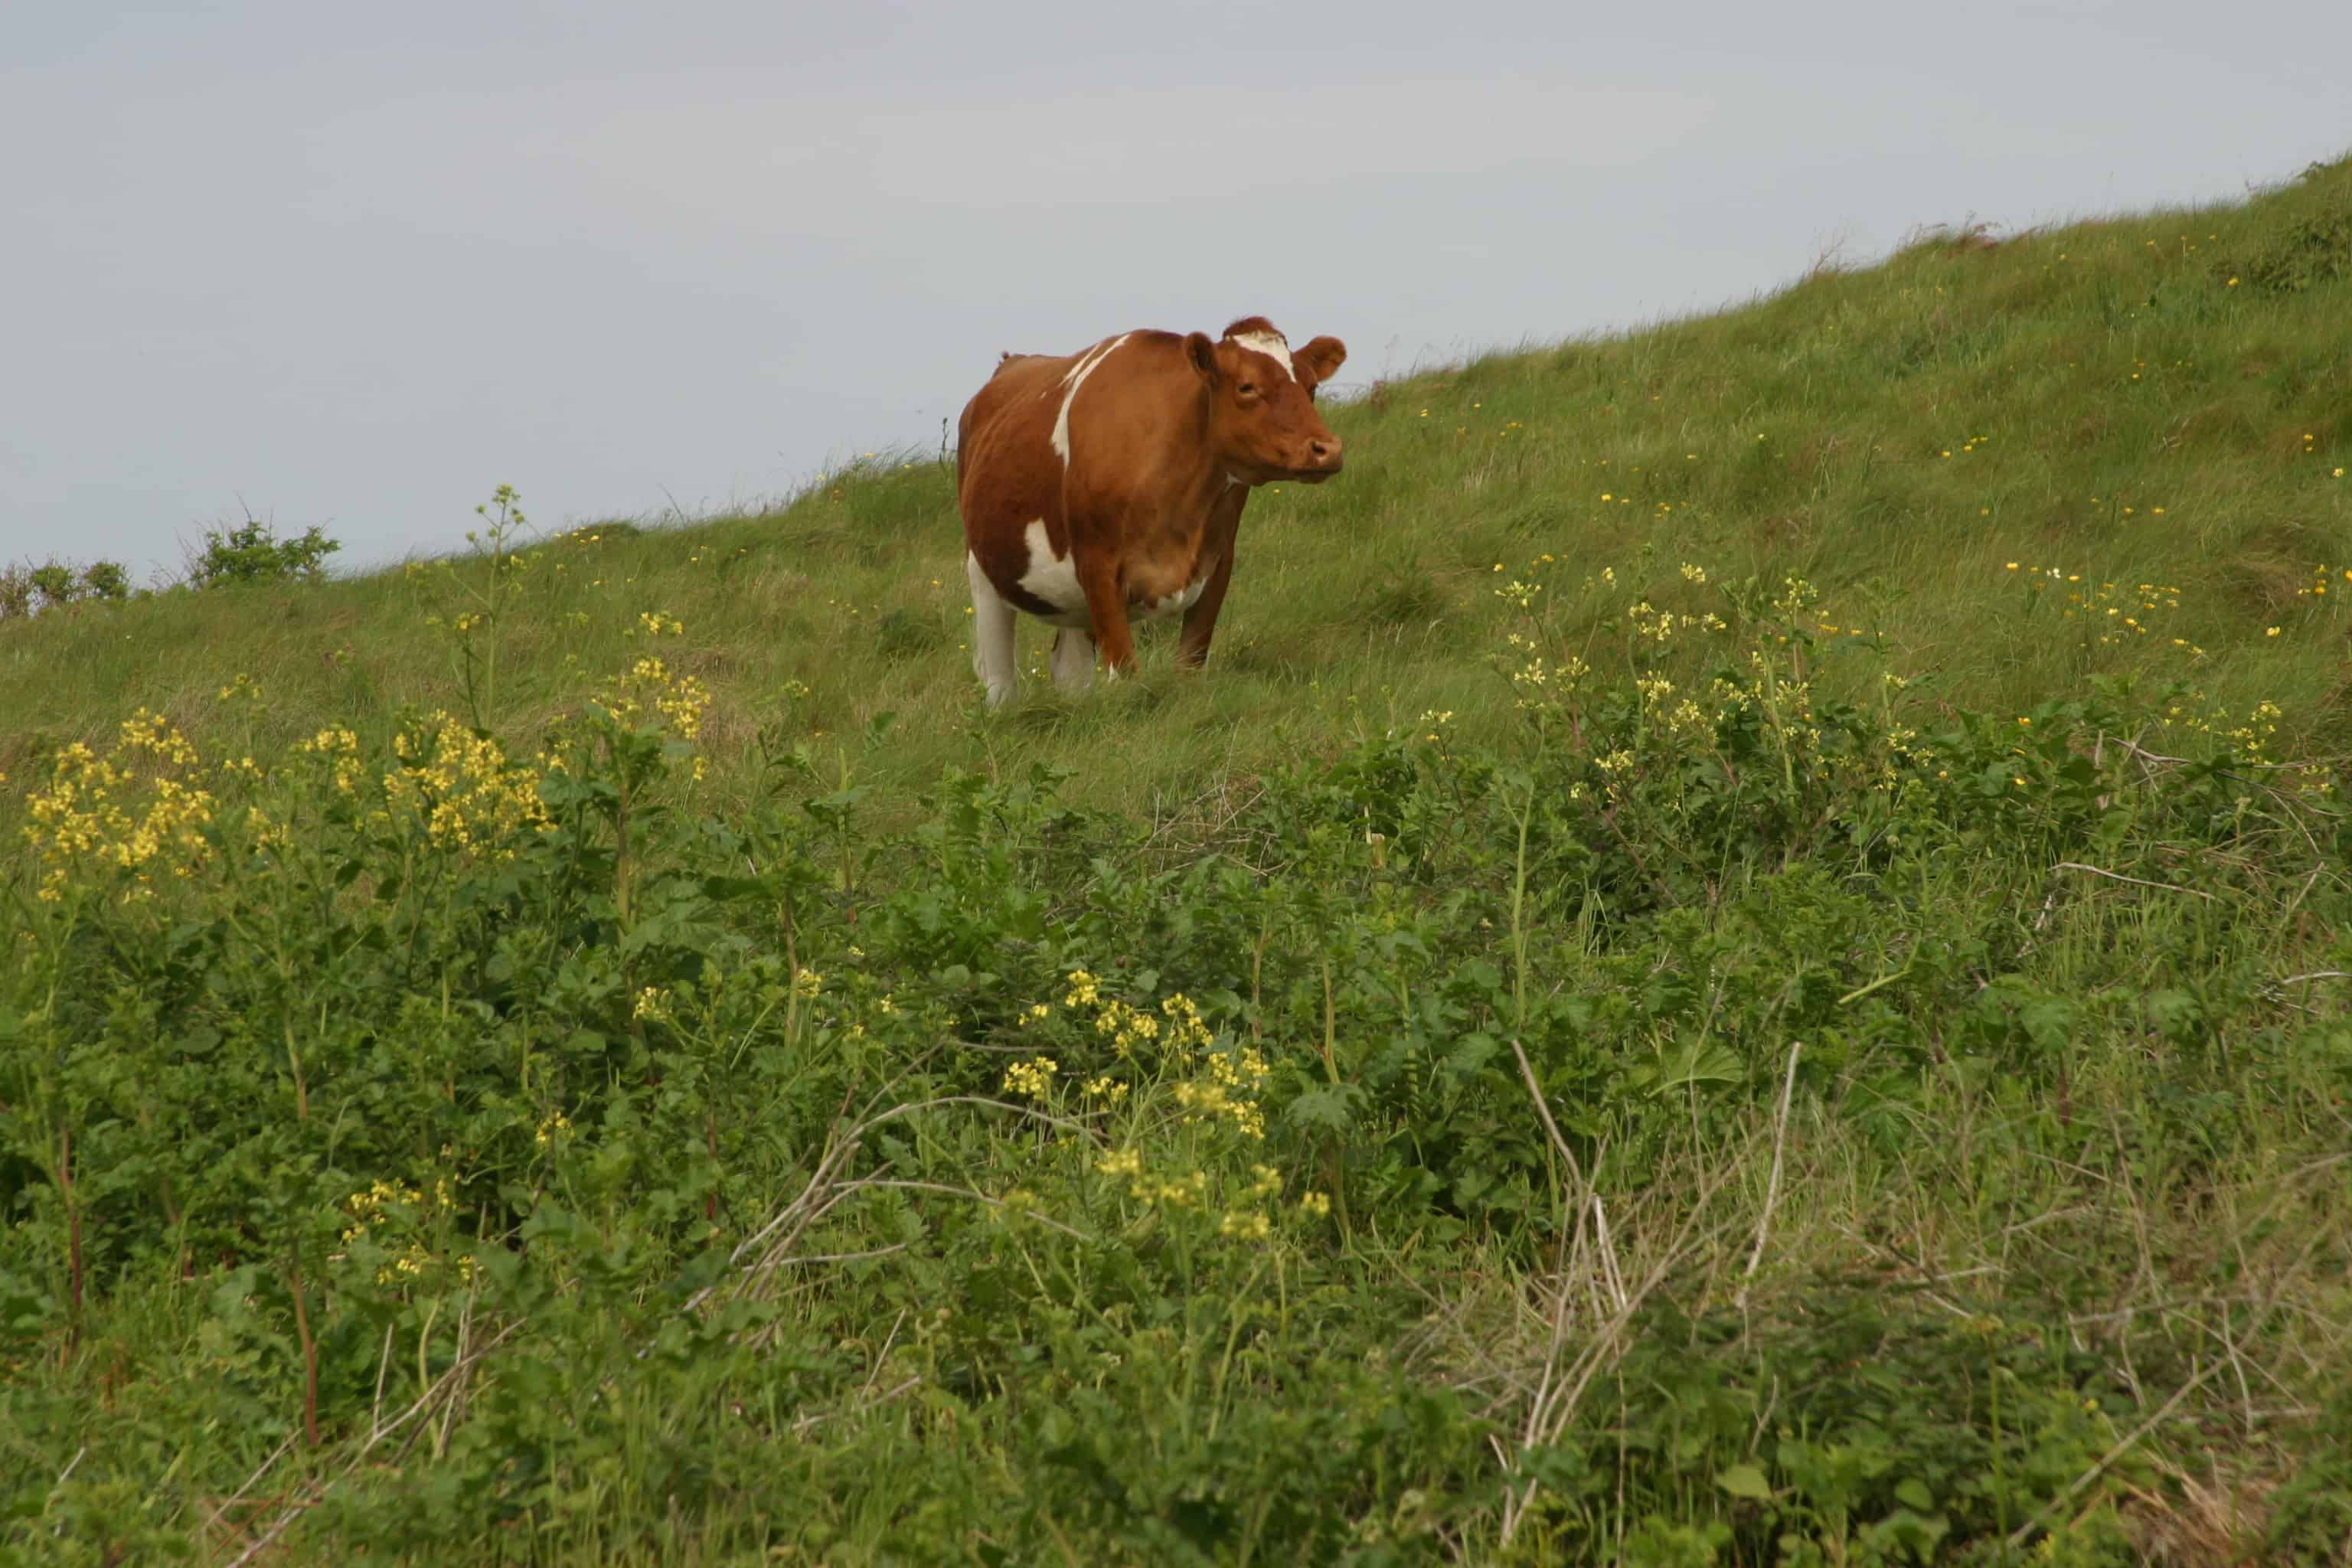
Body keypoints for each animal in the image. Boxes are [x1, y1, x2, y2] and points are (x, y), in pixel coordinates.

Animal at [945, 315, 1345, 705]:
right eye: (1247, 387)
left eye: (1311, 386)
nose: (1327, 449)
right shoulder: (1097, 567)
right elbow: (1126, 675)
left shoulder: (1218, 563)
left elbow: (1190, 664)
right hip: (983, 571)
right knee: (1000, 679)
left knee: (1070, 671)